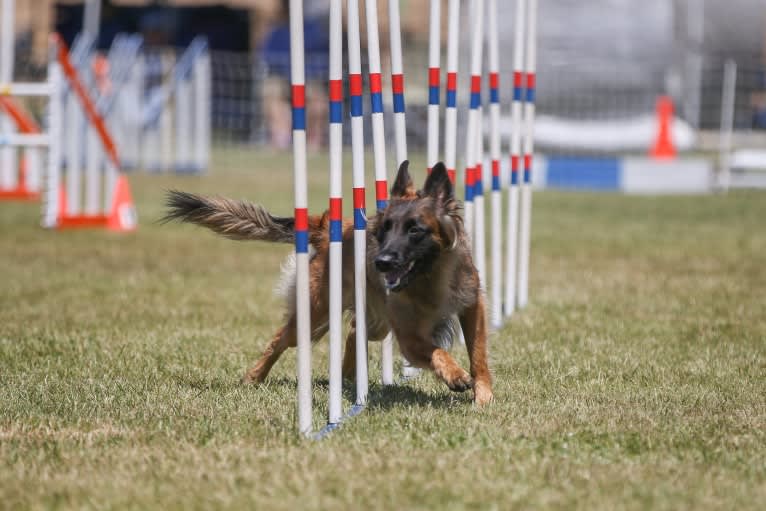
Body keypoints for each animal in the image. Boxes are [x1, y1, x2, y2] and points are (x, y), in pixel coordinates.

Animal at [165, 162, 496, 406]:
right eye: (385, 230)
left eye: (415, 230)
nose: (381, 262)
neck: (430, 275)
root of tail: (327, 231)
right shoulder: (409, 336)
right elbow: (437, 352)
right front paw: (455, 376)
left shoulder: (472, 306)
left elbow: (478, 354)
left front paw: (482, 395)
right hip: (316, 313)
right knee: (280, 340)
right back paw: (254, 378)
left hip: (376, 325)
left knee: (353, 331)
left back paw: (348, 380)